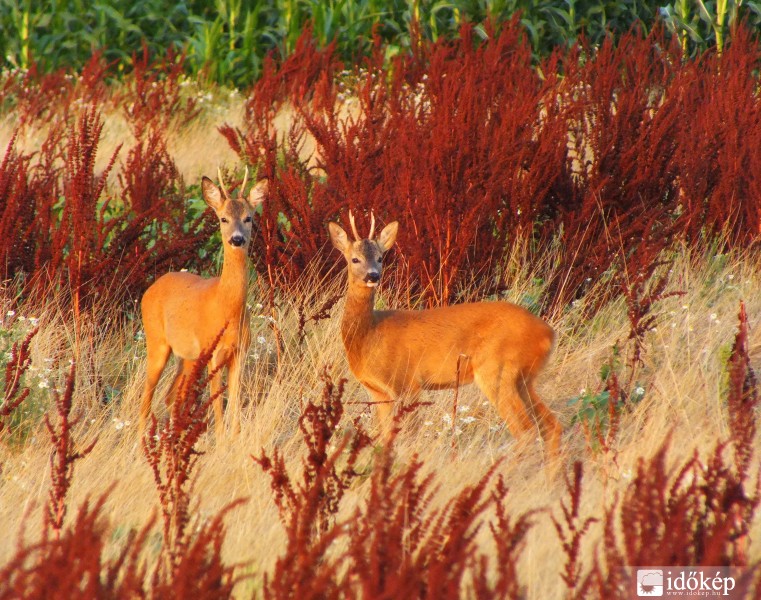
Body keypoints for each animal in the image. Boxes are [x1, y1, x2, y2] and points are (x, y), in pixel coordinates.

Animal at [138, 169, 266, 440]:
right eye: (223, 219)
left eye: (248, 218)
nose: (237, 239)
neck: (226, 308)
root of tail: (151, 288)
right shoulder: (212, 353)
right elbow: (217, 404)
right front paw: (220, 441)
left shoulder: (239, 353)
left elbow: (234, 402)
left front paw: (235, 439)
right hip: (157, 342)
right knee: (146, 396)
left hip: (187, 357)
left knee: (171, 396)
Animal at [330, 211, 560, 454]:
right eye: (355, 259)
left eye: (380, 258)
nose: (373, 276)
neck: (369, 336)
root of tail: (548, 334)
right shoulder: (379, 393)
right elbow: (386, 440)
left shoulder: (407, 382)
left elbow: (407, 437)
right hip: (524, 378)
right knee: (551, 426)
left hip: (497, 370)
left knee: (526, 431)